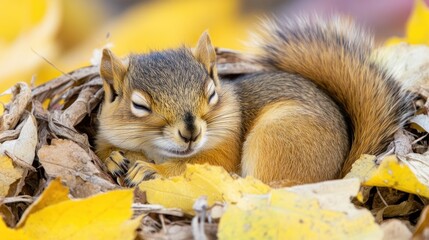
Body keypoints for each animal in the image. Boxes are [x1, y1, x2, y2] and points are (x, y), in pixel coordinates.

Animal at [96, 15, 412, 187]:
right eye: (139, 106)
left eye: (212, 93)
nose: (190, 133)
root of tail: (338, 175)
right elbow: (104, 148)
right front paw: (114, 158)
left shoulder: (224, 147)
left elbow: (199, 168)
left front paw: (151, 169)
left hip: (279, 138)